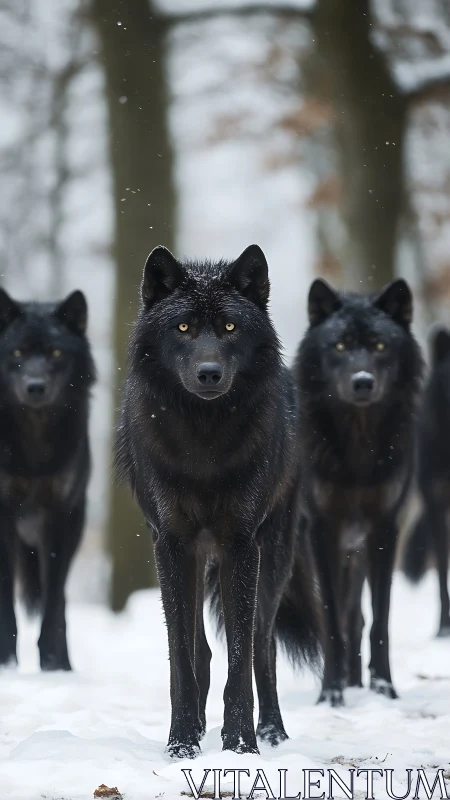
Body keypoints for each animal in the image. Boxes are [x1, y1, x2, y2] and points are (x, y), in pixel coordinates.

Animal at [116, 244, 321, 758]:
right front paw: (182, 743)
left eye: (229, 327)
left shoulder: (241, 545)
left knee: (263, 647)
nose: (209, 373)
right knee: (202, 650)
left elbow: (241, 660)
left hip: (274, 559)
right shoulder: (170, 545)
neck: (203, 440)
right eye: (183, 328)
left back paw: (272, 732)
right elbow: (181, 658)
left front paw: (241, 746)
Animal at [293, 278, 423, 706]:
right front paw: (330, 693)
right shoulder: (322, 531)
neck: (357, 446)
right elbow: (330, 621)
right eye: (339, 346)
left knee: (357, 617)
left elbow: (379, 620)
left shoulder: (385, 529)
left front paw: (383, 688)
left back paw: (355, 680)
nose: (362, 381)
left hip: (357, 555)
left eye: (380, 345)